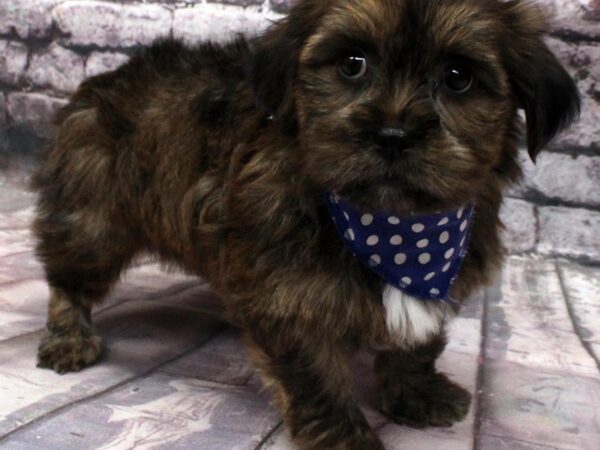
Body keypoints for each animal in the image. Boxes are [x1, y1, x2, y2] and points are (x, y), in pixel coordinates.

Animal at [31, 0, 576, 448]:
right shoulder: (286, 292)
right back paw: (68, 337)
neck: (395, 230)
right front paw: (344, 437)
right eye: (352, 64)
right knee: (67, 278)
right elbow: (317, 373)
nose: (393, 135)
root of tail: (103, 78)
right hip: (94, 221)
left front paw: (416, 392)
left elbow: (417, 341)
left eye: (458, 76)